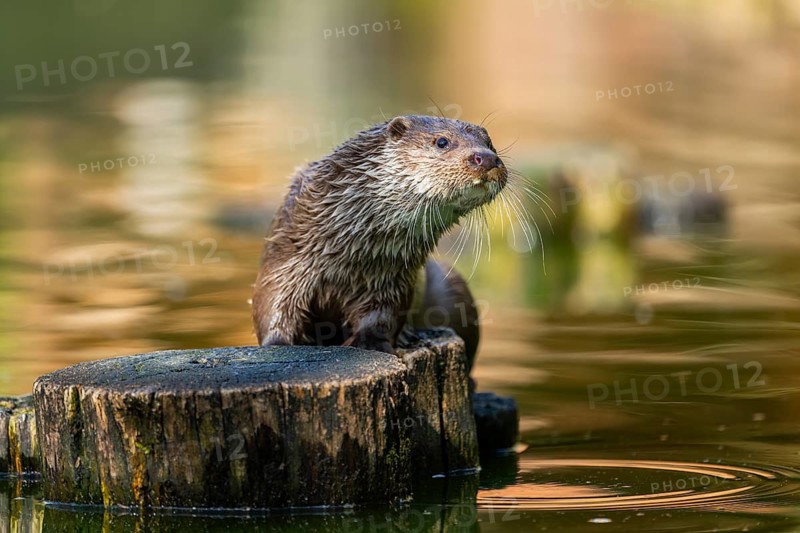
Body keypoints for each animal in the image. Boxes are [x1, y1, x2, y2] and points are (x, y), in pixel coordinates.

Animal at [252, 115, 507, 372]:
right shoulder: (287, 256)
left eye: (489, 143)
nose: (486, 157)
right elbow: (272, 302)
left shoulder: (394, 278)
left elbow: (382, 318)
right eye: (442, 141)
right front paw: (278, 344)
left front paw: (371, 344)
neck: (350, 255)